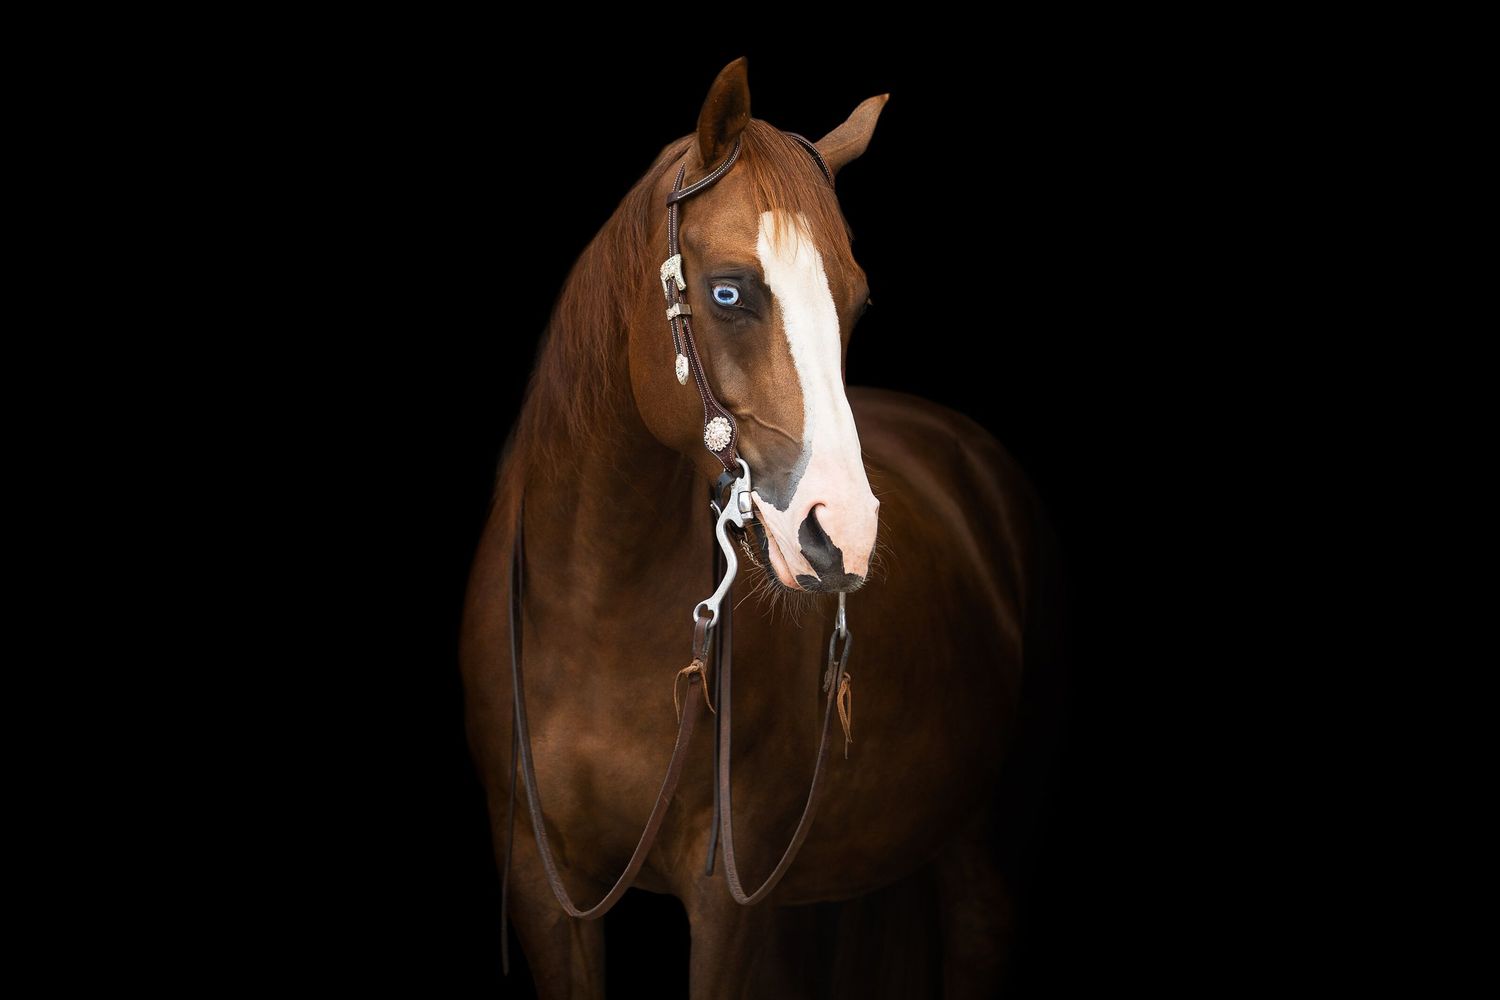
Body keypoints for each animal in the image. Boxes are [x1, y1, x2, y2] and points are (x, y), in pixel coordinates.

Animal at [461, 58, 1059, 998]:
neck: (592, 613)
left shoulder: (731, 903)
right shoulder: (539, 885)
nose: (843, 535)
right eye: (728, 292)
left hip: (982, 859)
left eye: (855, 300)